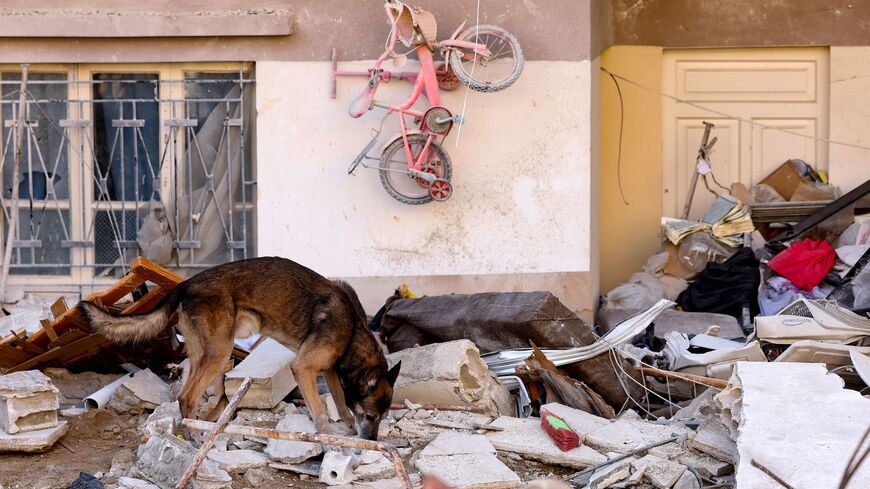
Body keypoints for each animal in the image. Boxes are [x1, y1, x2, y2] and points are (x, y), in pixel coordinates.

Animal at [76, 255, 400, 438]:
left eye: (382, 419)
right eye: (372, 417)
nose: (372, 441)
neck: (353, 329)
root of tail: (186, 284)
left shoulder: (330, 370)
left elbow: (342, 406)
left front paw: (347, 432)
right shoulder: (304, 368)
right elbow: (321, 412)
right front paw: (330, 443)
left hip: (204, 354)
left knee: (191, 396)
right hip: (219, 354)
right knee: (187, 397)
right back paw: (196, 438)